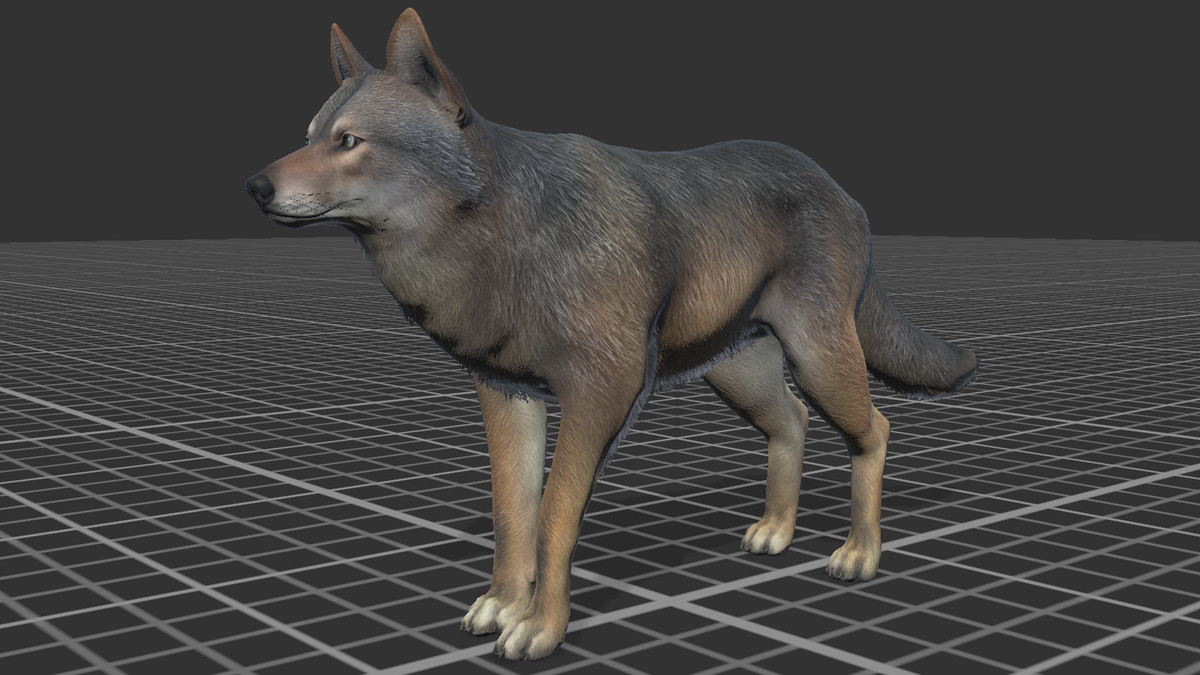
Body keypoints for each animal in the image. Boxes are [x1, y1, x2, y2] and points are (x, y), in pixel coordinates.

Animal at [245, 8, 977, 661]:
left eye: (348, 141)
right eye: (309, 134)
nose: (254, 186)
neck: (502, 234)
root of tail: (840, 188)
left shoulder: (599, 396)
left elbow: (553, 517)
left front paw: (540, 628)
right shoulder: (508, 397)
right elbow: (513, 513)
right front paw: (505, 603)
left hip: (821, 359)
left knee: (875, 428)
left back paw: (860, 552)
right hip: (736, 372)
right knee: (792, 422)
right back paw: (777, 528)